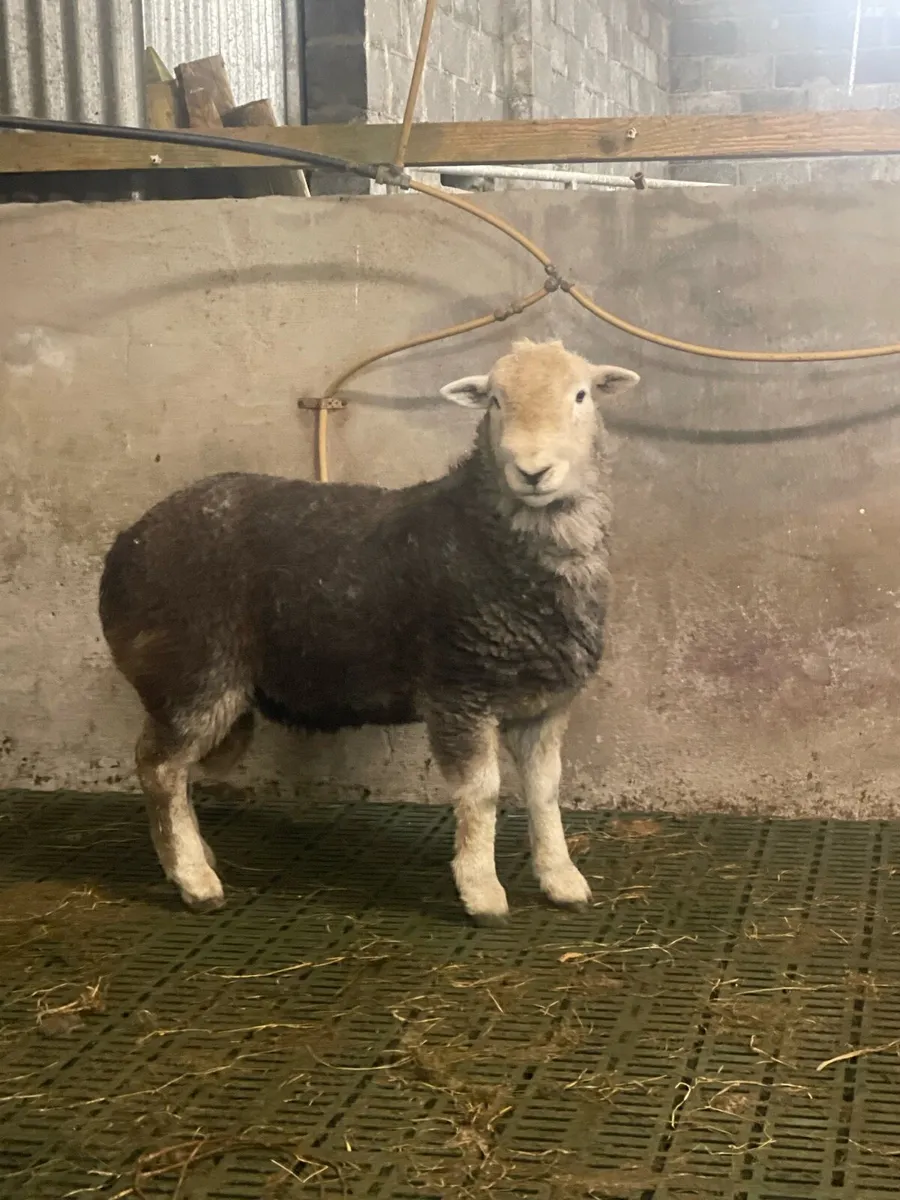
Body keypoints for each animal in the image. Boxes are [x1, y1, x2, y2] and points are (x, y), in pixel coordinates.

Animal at [98, 338, 640, 925]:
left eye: (581, 395)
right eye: (495, 401)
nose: (533, 471)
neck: (488, 535)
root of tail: (126, 544)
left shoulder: (545, 703)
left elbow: (545, 791)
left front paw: (562, 879)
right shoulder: (459, 692)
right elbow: (482, 793)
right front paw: (481, 890)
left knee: (172, 771)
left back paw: (194, 856)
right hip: (193, 672)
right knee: (159, 768)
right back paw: (194, 879)